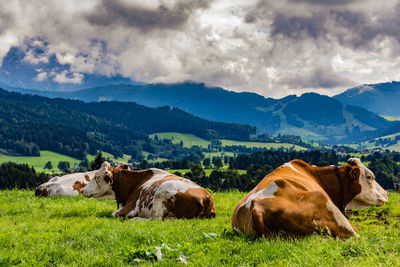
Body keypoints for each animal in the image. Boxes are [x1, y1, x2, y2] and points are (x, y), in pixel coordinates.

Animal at [79, 162, 214, 221]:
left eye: (97, 177)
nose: (82, 190)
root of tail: (207, 197)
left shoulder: (130, 206)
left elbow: (114, 214)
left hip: (161, 194)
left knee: (156, 220)